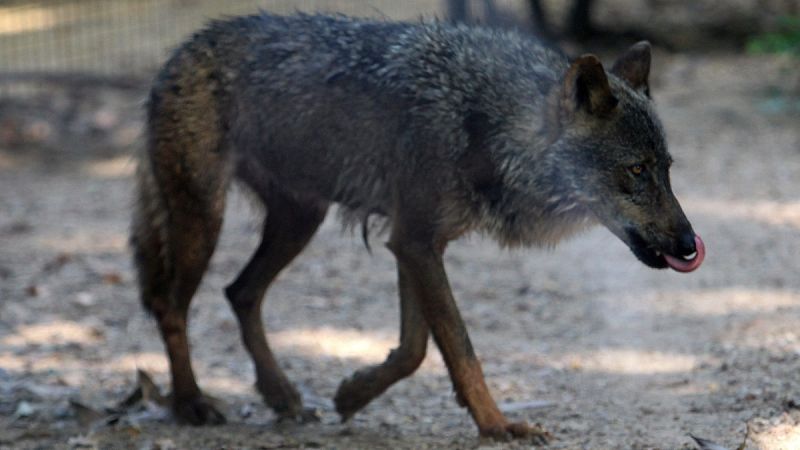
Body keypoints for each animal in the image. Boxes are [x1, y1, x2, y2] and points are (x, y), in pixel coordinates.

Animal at [130, 12, 705, 440]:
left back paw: (283, 396)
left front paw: (353, 393)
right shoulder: (415, 243)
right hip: (204, 219)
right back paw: (191, 403)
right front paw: (499, 426)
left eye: (667, 168)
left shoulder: (415, 243)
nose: (688, 244)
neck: (486, 123)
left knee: (240, 292)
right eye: (637, 171)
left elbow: (414, 350)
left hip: (299, 221)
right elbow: (460, 347)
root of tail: (182, 49)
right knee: (170, 305)